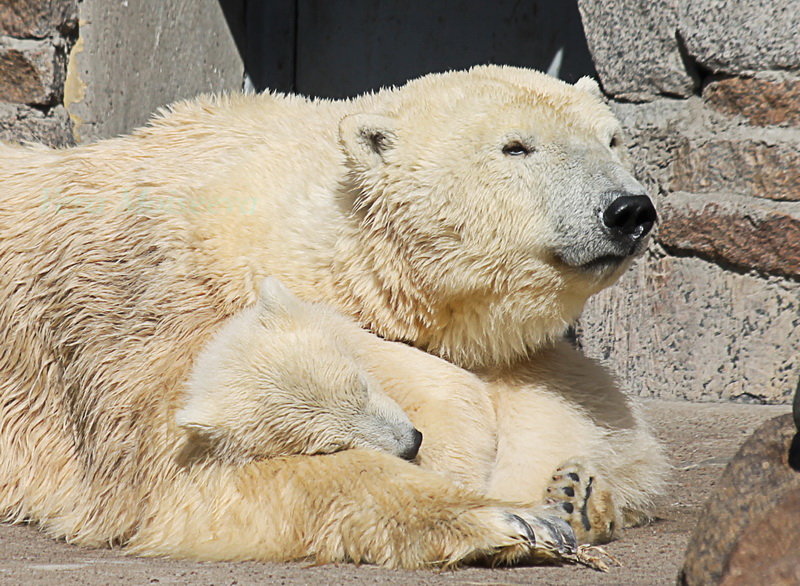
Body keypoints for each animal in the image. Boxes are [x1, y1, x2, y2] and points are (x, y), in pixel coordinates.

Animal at [0, 65, 664, 564]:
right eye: (515, 147)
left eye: (612, 138)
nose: (628, 209)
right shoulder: (154, 326)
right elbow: (197, 482)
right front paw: (512, 520)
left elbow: (592, 432)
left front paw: (575, 493)